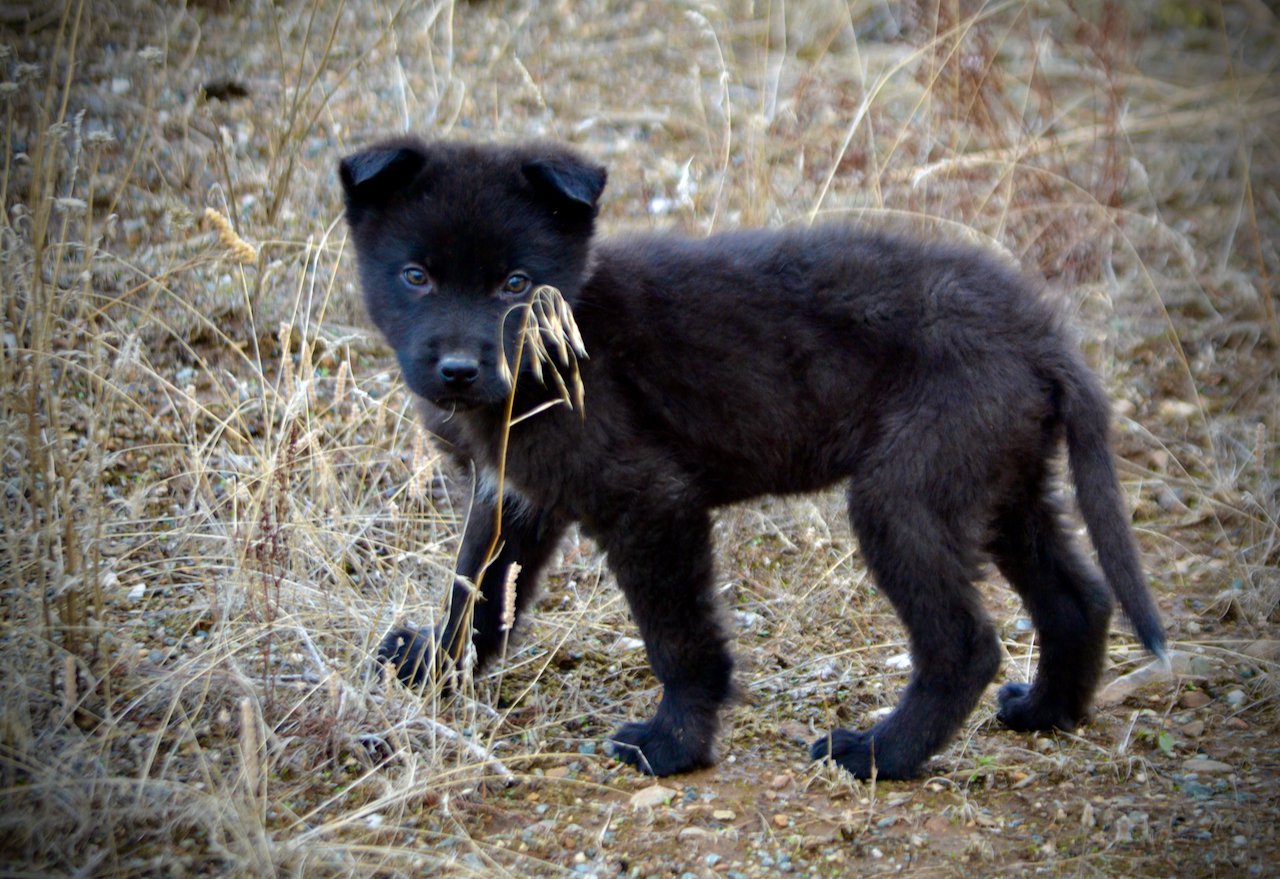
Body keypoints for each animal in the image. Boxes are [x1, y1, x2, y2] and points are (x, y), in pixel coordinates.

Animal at [335, 134, 1167, 783]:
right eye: (416, 276)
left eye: (516, 283)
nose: (458, 370)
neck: (567, 343)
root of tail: (1042, 335)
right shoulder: (515, 493)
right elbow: (475, 591)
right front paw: (433, 669)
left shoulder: (649, 499)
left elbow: (678, 638)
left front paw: (673, 744)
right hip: (1000, 485)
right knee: (1077, 598)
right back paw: (1045, 711)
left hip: (906, 494)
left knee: (964, 643)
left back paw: (879, 754)